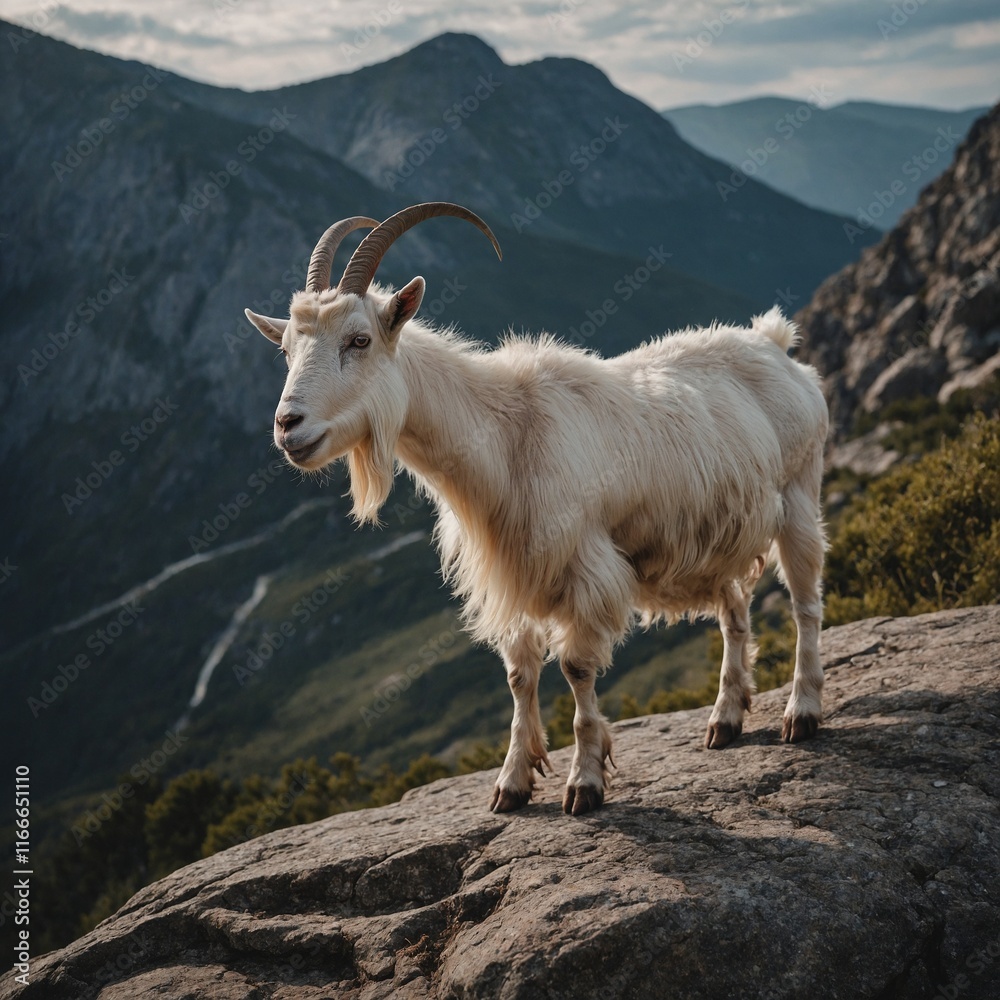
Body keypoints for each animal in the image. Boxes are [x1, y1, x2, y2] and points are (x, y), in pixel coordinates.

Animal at [246, 202, 829, 816]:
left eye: (358, 340)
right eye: (286, 350)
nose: (288, 427)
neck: (505, 435)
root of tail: (775, 343)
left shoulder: (584, 566)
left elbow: (575, 668)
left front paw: (585, 782)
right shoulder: (512, 573)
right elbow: (519, 677)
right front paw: (512, 783)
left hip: (799, 494)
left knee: (805, 604)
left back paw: (802, 713)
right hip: (720, 535)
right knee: (735, 612)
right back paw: (726, 719)